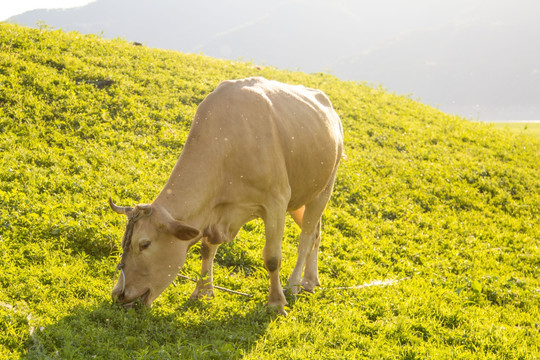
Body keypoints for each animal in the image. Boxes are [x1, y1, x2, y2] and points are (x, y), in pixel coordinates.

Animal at [109, 77, 344, 314]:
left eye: (144, 244)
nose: (118, 294)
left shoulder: (276, 201)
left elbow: (272, 257)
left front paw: (276, 303)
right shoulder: (215, 212)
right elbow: (206, 249)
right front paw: (202, 291)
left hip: (324, 188)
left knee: (306, 237)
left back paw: (295, 284)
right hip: (301, 196)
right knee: (317, 233)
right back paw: (310, 280)